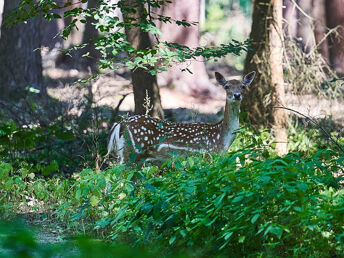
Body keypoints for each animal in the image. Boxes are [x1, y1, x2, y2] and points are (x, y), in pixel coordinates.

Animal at [107, 70, 255, 163]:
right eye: (226, 86)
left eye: (243, 86)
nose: (237, 95)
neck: (221, 138)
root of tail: (120, 124)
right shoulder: (207, 155)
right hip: (133, 152)